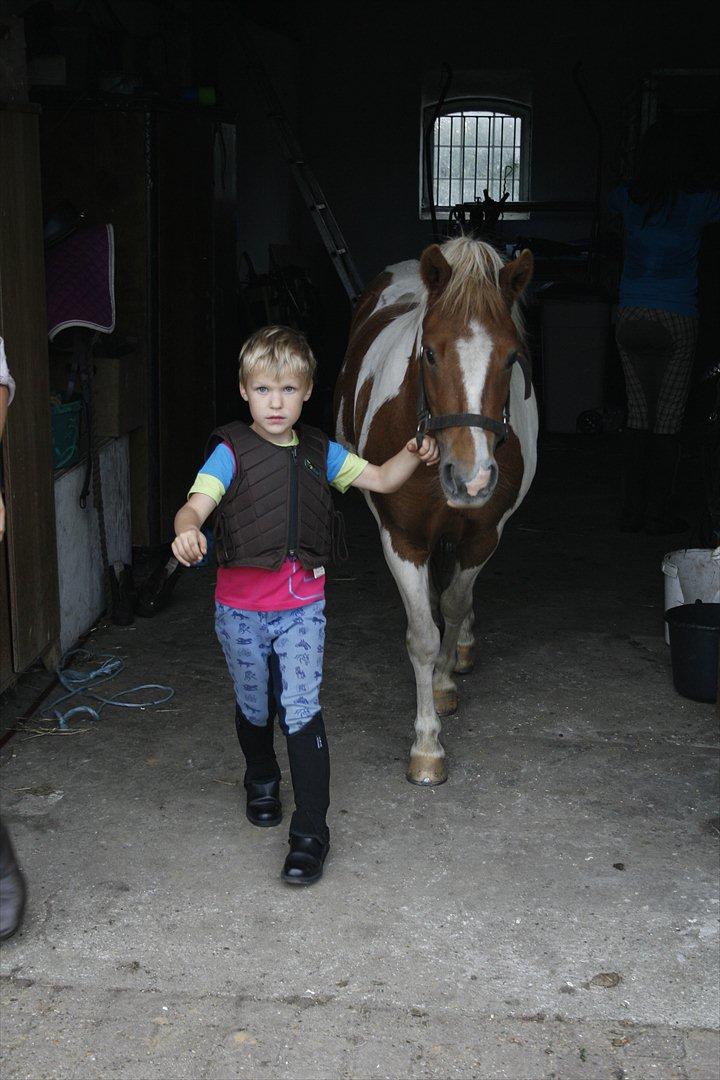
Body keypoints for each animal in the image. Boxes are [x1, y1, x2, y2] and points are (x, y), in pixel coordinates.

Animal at [334, 238, 537, 786]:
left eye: (511, 357)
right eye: (428, 352)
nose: (472, 479)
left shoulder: (484, 534)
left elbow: (455, 604)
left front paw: (444, 682)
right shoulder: (402, 537)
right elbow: (423, 634)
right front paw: (426, 747)